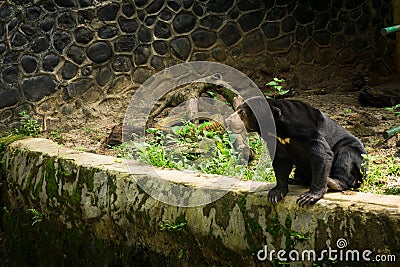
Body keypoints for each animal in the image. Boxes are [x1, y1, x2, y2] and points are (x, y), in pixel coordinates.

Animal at [225, 97, 366, 207]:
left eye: (242, 112)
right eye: (237, 110)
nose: (227, 120)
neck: (278, 127)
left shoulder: (306, 129)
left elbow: (321, 154)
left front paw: (309, 197)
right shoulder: (275, 140)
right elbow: (280, 161)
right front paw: (275, 193)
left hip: (356, 155)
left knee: (346, 156)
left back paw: (333, 182)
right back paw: (295, 180)